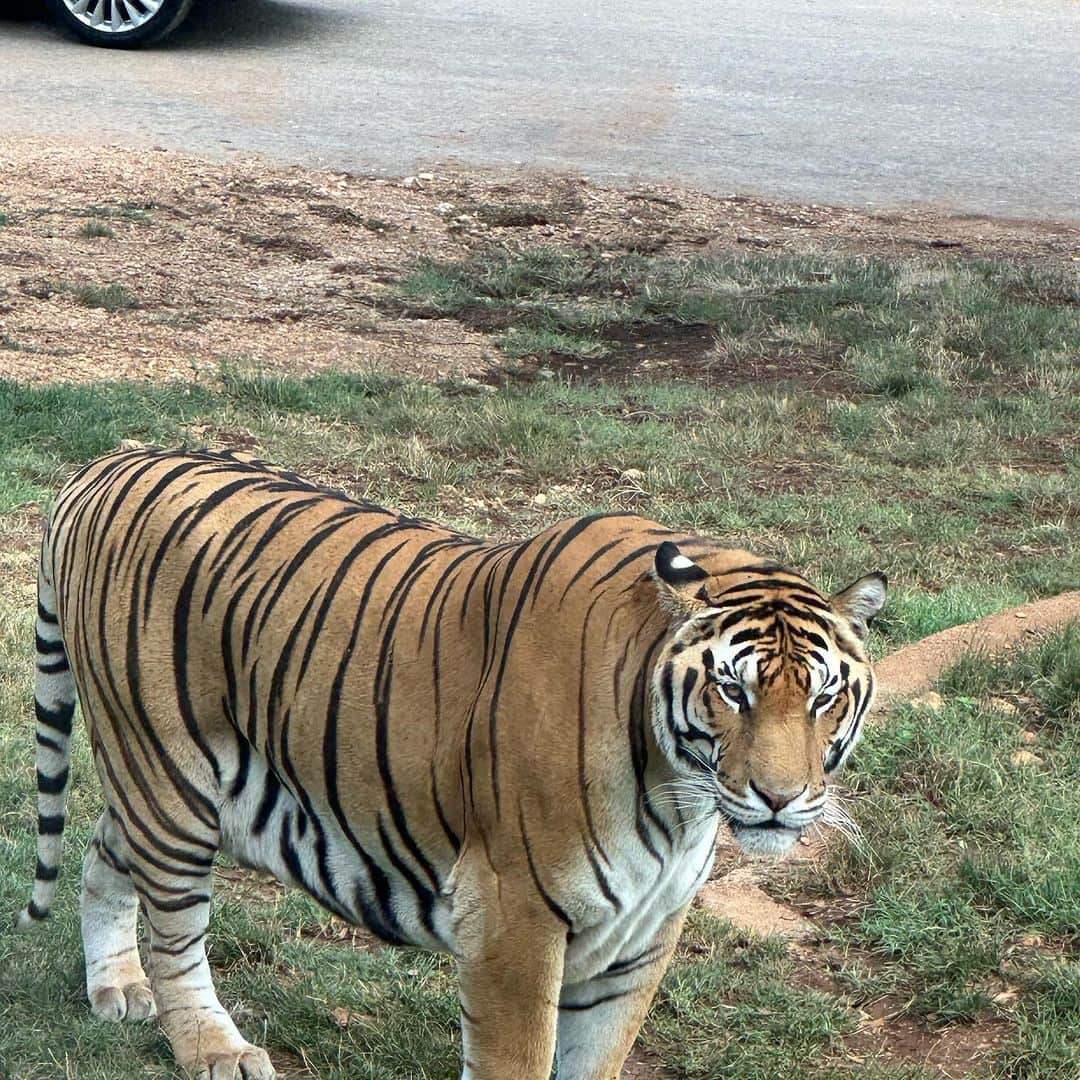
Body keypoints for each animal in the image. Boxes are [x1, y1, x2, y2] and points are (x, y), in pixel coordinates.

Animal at [21, 447, 885, 1080]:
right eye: (733, 692)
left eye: (823, 698)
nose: (779, 798)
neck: (678, 799)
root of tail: (105, 464)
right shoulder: (514, 913)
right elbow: (517, 1060)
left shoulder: (646, 929)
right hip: (170, 774)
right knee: (175, 933)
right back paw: (214, 1049)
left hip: (175, 789)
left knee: (104, 851)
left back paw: (117, 986)